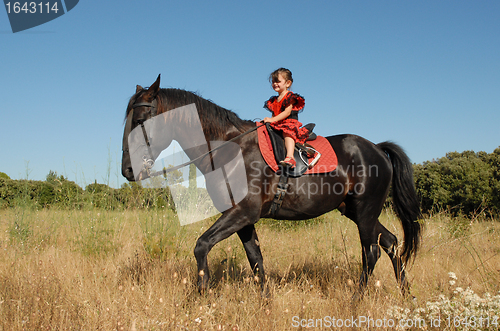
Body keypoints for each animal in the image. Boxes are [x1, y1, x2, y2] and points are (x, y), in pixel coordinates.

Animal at [122, 75, 422, 298]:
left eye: (140, 122)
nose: (127, 170)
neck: (230, 150)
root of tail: (377, 149)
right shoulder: (243, 219)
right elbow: (255, 259)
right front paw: (265, 301)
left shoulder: (243, 212)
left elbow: (201, 245)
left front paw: (202, 295)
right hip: (355, 211)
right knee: (392, 243)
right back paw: (406, 294)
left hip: (365, 210)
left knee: (371, 252)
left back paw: (356, 300)